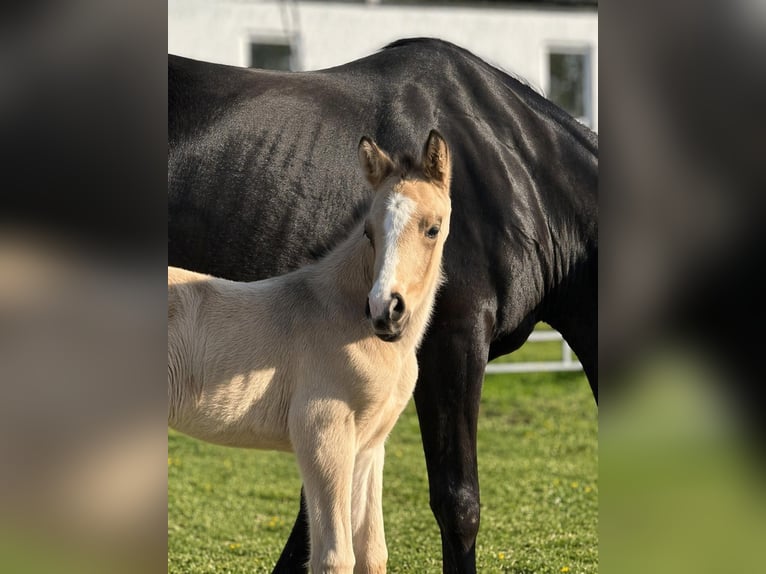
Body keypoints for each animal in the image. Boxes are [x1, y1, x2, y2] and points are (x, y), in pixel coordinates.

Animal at [168, 131, 452, 574]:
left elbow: (372, 553)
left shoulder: (369, 446)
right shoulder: (322, 432)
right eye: (369, 232)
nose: (385, 310)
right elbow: (335, 556)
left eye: (432, 229)